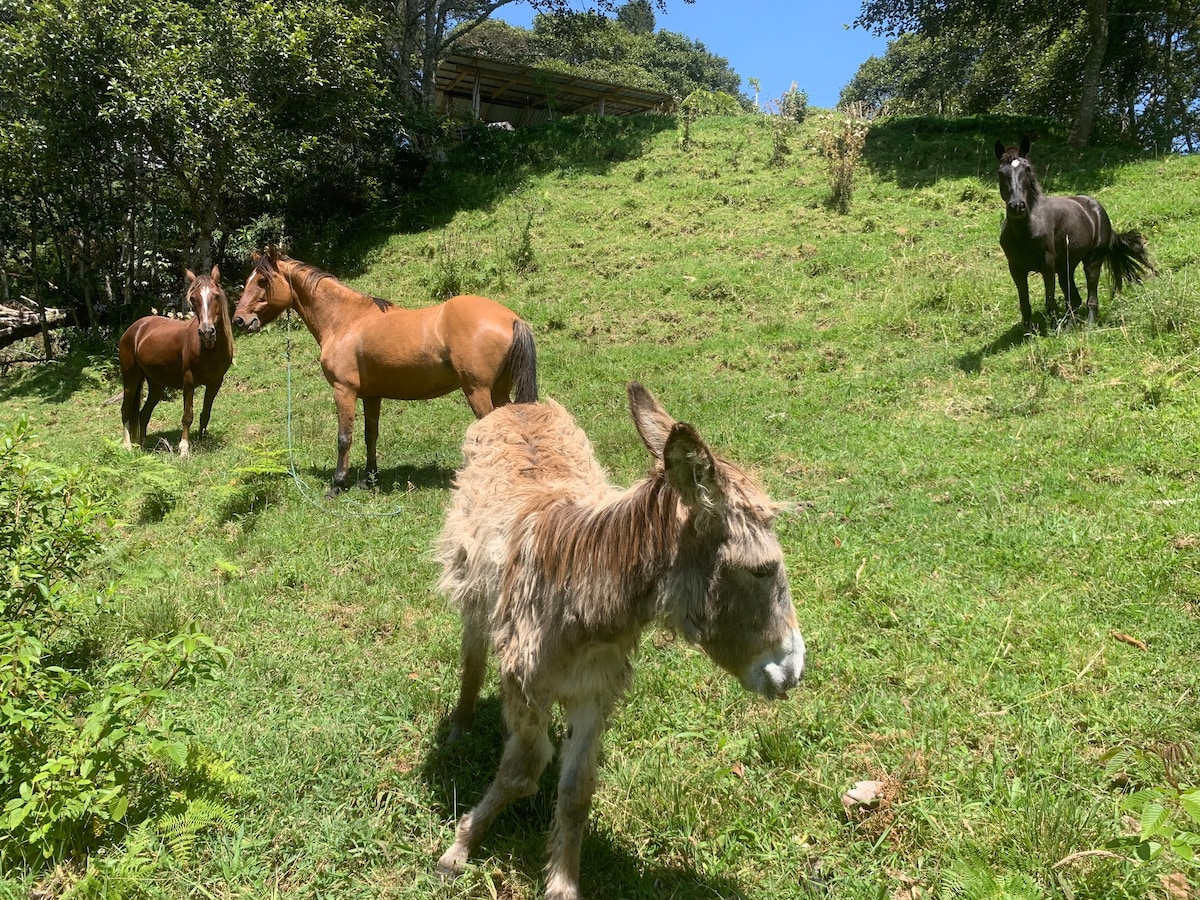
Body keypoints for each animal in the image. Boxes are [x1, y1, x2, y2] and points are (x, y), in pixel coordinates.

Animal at [119, 264, 234, 453]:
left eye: (216, 295)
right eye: (193, 298)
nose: (207, 332)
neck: (208, 349)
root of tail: (134, 329)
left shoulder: (215, 382)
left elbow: (205, 413)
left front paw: (202, 441)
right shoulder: (188, 381)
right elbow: (188, 415)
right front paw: (184, 448)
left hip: (156, 384)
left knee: (144, 414)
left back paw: (143, 445)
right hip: (131, 379)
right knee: (126, 410)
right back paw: (127, 445)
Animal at [231, 250, 537, 496]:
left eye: (262, 281)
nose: (239, 320)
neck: (344, 320)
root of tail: (511, 318)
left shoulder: (344, 391)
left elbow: (344, 438)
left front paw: (337, 484)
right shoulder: (371, 395)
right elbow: (371, 434)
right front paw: (369, 479)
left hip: (478, 391)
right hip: (498, 391)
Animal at [434, 381, 806, 900]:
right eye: (763, 570)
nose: (793, 669)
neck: (581, 597)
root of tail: (521, 406)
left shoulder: (594, 691)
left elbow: (575, 791)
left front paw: (563, 883)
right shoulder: (525, 688)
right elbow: (520, 774)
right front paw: (461, 846)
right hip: (471, 587)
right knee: (473, 653)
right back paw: (461, 725)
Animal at [993, 133, 1152, 331]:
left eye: (1027, 168)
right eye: (1000, 172)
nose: (1017, 206)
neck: (1024, 231)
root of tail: (1095, 207)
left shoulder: (1047, 265)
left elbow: (1050, 301)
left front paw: (1052, 330)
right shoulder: (1016, 269)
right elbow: (1025, 305)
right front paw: (1029, 333)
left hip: (1092, 261)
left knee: (1091, 298)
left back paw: (1087, 326)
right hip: (1065, 268)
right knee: (1074, 300)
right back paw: (1068, 327)